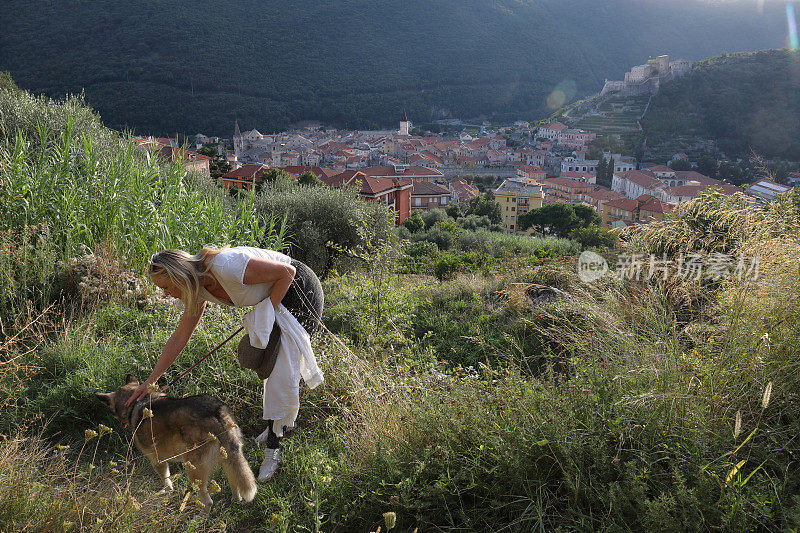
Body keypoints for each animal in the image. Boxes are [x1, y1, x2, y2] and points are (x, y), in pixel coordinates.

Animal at [93, 374, 256, 508]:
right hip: (228, 458)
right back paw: (234, 500)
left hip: (193, 469)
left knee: (208, 502)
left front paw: (166, 492)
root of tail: (217, 414)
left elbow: (166, 481)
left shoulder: (157, 461)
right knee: (234, 483)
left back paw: (198, 518)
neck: (136, 404)